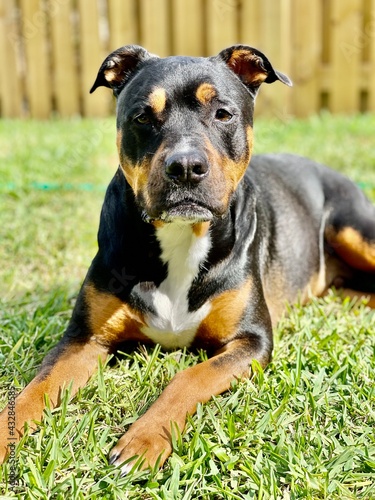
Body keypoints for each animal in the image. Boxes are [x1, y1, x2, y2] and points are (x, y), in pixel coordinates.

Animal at [0, 44, 375, 472]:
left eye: (223, 113)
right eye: (143, 117)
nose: (185, 166)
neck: (181, 236)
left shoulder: (252, 341)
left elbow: (189, 377)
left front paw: (144, 438)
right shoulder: (84, 339)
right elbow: (34, 389)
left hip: (351, 227)